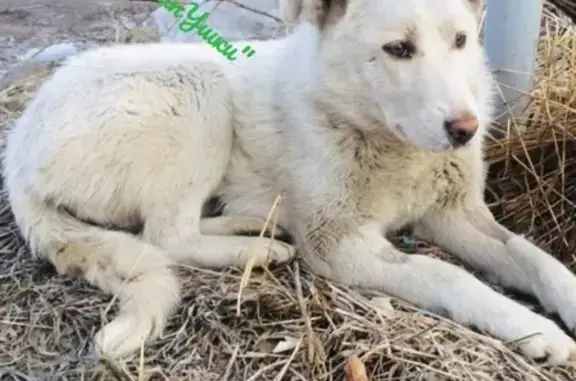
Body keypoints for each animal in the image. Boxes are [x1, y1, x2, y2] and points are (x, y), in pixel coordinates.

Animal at [3, 0, 576, 364]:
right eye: (398, 49)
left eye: (460, 41)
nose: (465, 129)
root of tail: (18, 147)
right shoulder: (338, 246)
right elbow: (450, 275)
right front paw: (535, 330)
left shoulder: (455, 214)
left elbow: (534, 258)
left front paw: (564, 300)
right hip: (200, 95)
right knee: (166, 236)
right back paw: (257, 249)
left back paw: (256, 226)